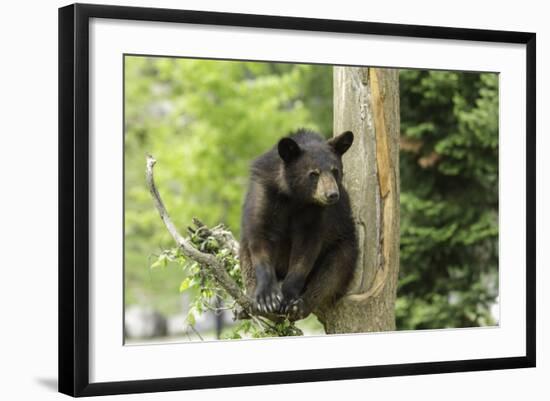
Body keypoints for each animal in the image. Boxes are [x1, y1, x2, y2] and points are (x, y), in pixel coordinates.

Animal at [239, 130, 360, 320]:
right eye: (314, 173)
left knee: (333, 272)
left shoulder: (317, 214)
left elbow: (306, 249)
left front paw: (289, 299)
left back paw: (301, 305)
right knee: (246, 256)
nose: (332, 195)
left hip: (345, 244)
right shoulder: (265, 193)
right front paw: (266, 298)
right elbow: (260, 236)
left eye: (335, 171)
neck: (295, 197)